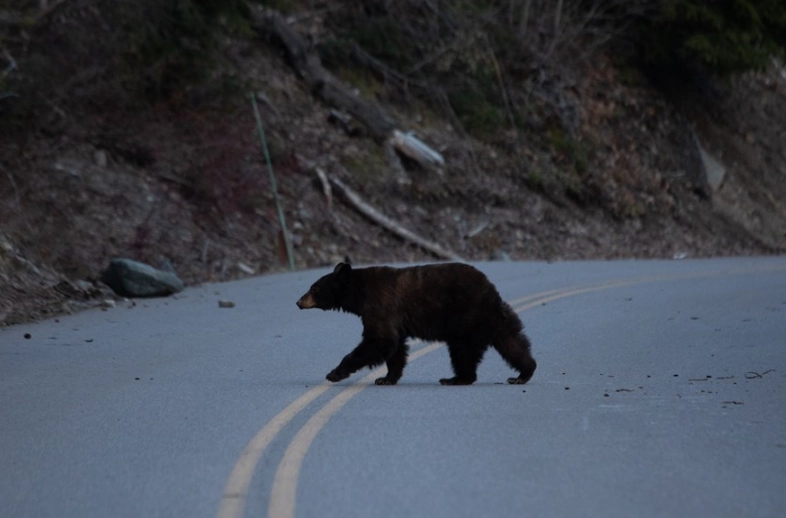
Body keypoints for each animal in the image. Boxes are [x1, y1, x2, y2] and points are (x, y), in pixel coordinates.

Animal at [296, 262, 536, 386]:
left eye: (314, 288)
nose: (298, 302)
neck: (359, 293)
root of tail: (491, 293)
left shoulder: (380, 305)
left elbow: (379, 340)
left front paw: (334, 373)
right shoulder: (394, 319)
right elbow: (395, 346)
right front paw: (387, 378)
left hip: (466, 318)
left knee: (462, 351)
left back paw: (456, 378)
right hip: (497, 320)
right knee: (513, 343)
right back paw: (523, 373)